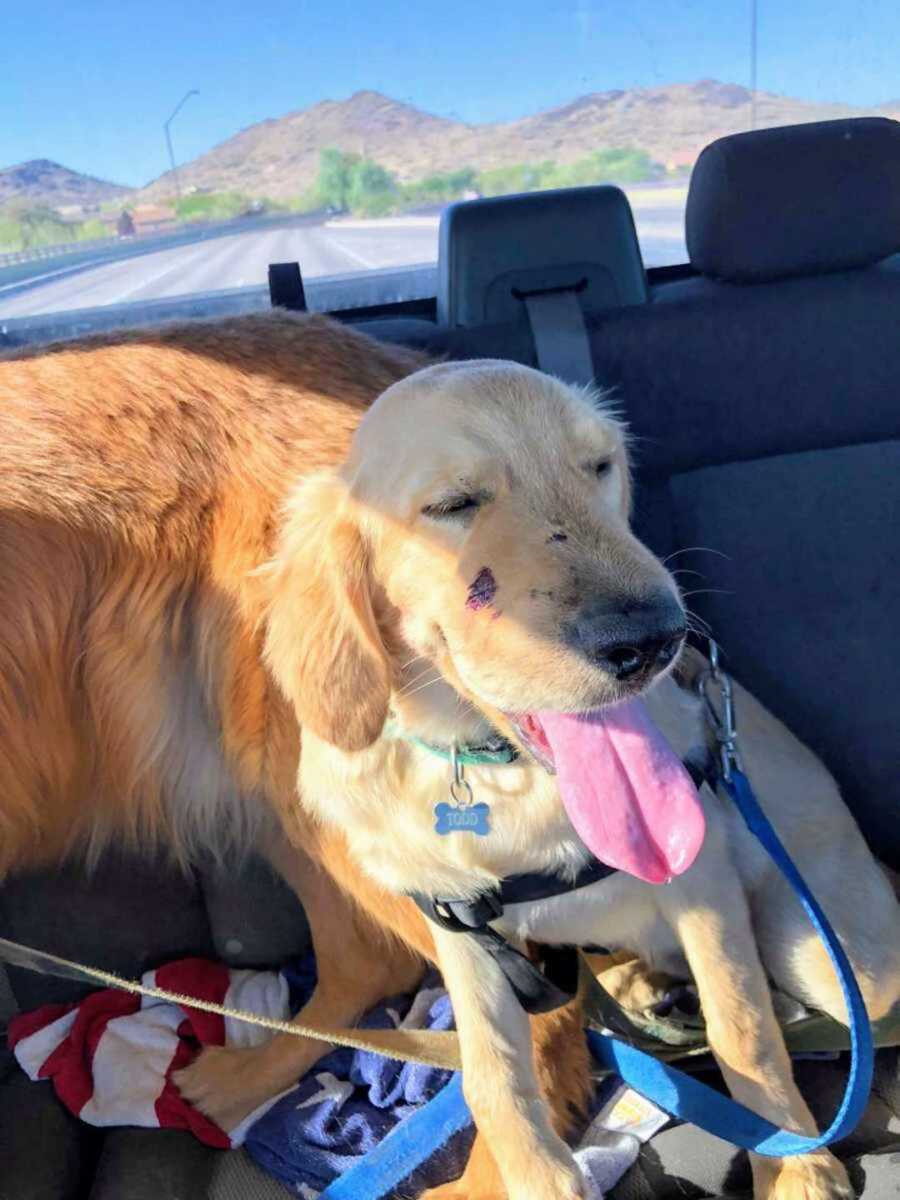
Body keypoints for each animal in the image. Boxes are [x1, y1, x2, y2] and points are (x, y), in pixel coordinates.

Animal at [0, 312, 897, 1200]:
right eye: (453, 503)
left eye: (600, 466)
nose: (653, 639)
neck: (502, 778)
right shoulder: (458, 927)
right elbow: (494, 1075)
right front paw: (534, 1174)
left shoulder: (701, 882)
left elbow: (744, 1027)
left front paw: (797, 1166)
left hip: (841, 957)